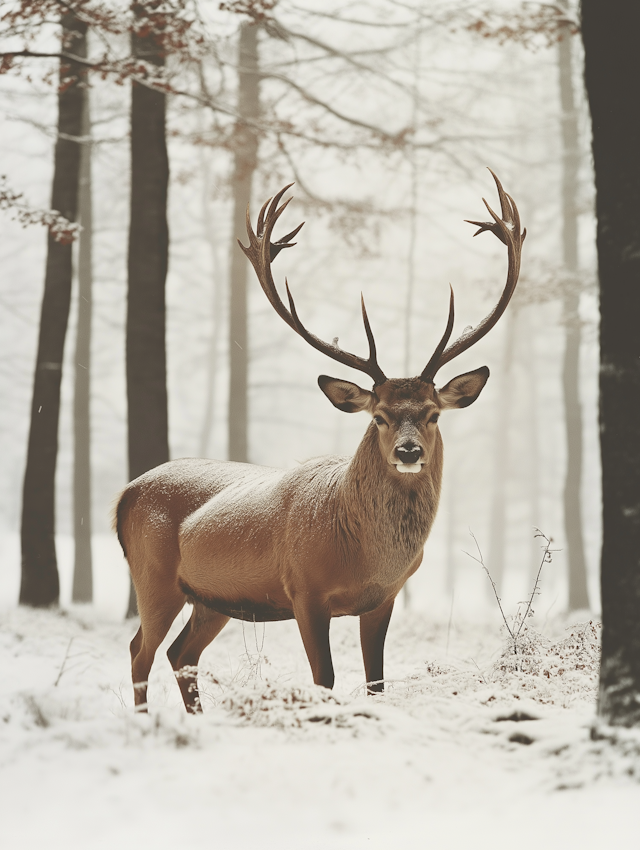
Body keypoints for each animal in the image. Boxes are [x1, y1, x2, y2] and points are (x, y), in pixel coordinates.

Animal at [115, 171, 524, 708]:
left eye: (433, 414)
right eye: (379, 417)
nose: (408, 451)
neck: (362, 553)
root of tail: (124, 495)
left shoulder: (384, 598)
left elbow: (376, 681)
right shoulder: (303, 590)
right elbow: (324, 678)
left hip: (211, 598)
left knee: (180, 653)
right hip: (153, 576)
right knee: (139, 650)